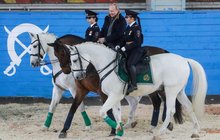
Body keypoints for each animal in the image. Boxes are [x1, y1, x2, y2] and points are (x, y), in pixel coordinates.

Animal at [47, 34, 183, 138]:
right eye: (56, 55)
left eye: (65, 54)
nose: (70, 73)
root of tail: (164, 51)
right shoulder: (82, 90)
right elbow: (73, 108)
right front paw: (63, 130)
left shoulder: (104, 92)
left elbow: (107, 111)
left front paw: (114, 130)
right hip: (156, 88)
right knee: (159, 102)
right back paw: (157, 125)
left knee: (162, 102)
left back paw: (164, 125)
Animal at [66, 42, 207, 139]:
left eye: (74, 60)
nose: (77, 77)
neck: (109, 65)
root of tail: (184, 60)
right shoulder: (115, 96)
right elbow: (117, 113)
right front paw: (119, 131)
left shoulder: (114, 95)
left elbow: (103, 112)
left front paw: (117, 129)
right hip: (179, 91)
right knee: (189, 106)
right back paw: (195, 131)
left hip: (171, 90)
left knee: (170, 110)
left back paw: (159, 132)